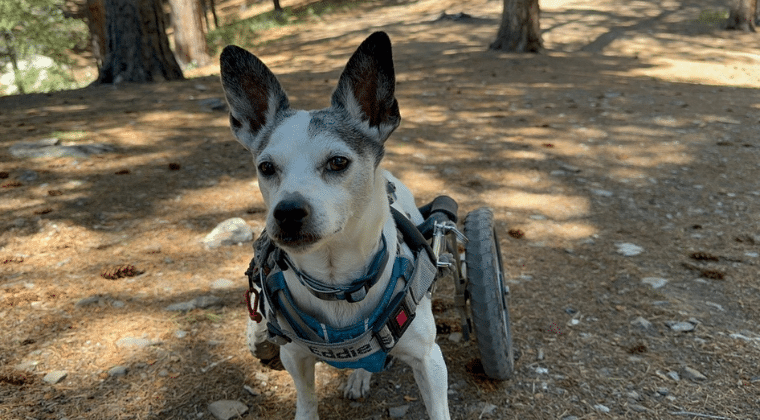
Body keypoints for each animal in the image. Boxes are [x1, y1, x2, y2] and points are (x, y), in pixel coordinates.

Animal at [218, 31, 446, 418]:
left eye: (338, 162)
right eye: (266, 167)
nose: (287, 211)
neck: (338, 283)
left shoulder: (430, 360)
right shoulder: (294, 356)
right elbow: (307, 398)